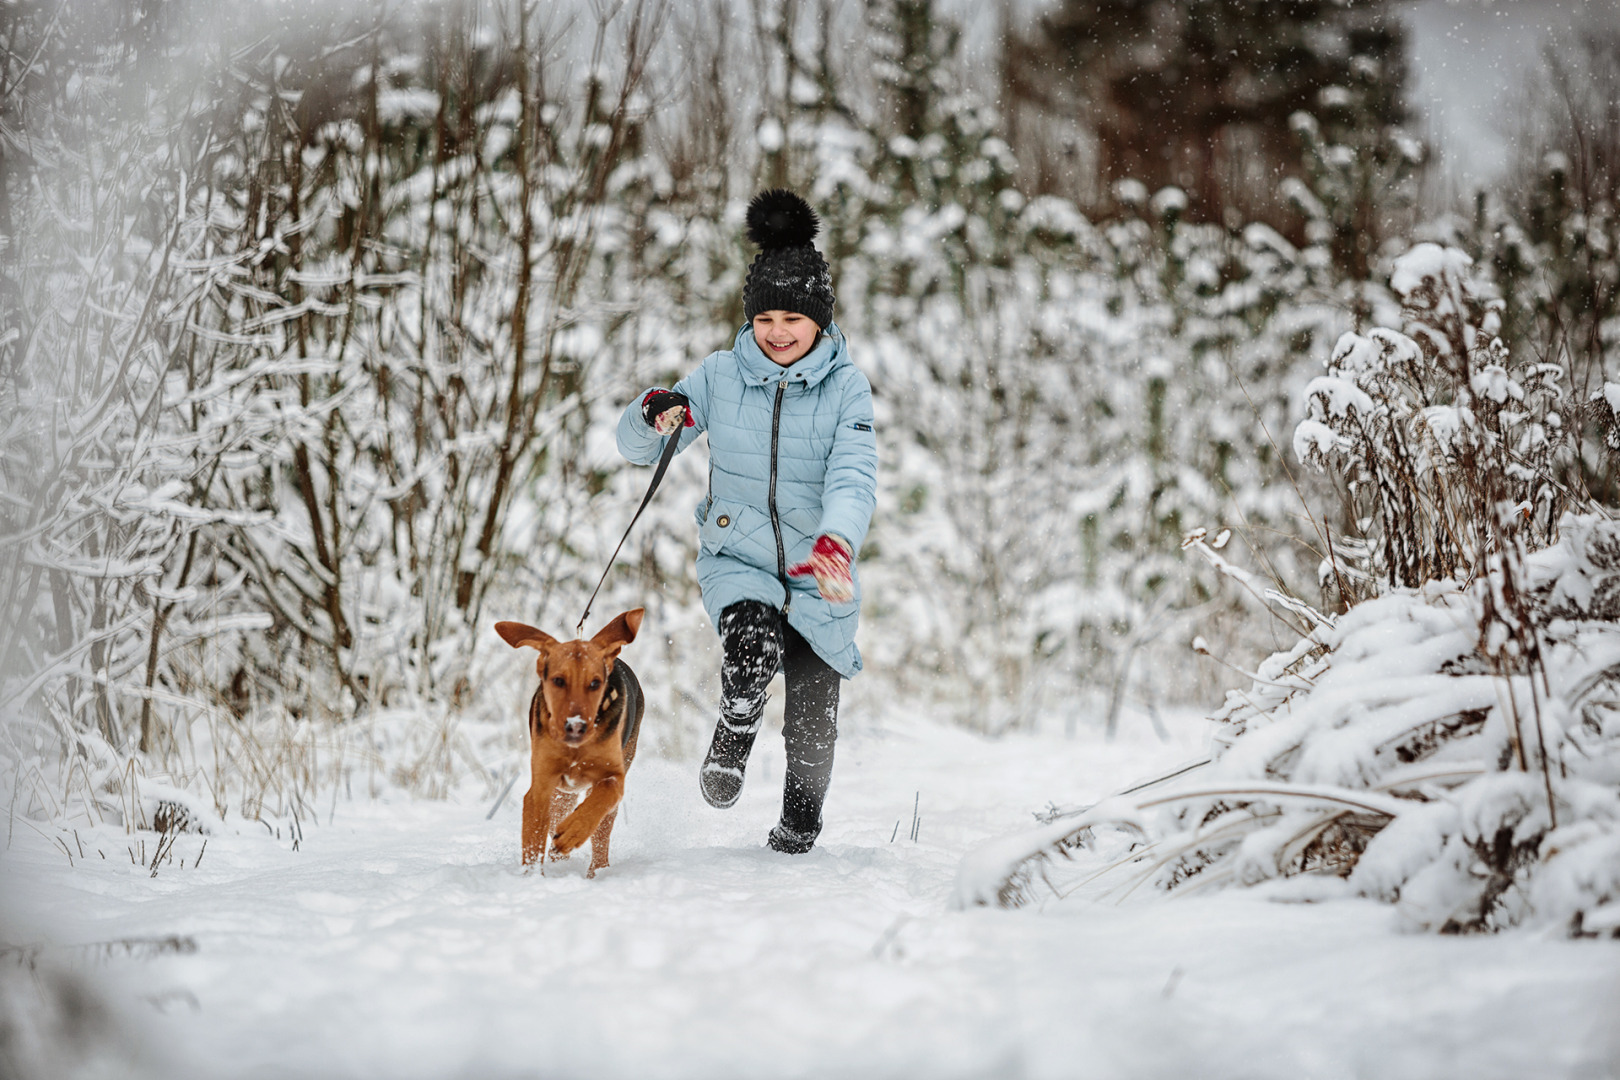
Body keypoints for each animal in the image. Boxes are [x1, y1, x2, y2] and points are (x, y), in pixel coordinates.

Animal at [492, 608, 644, 880]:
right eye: (558, 681)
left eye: (595, 683)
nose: (575, 726)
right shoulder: (541, 787)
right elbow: (533, 839)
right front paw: (532, 878)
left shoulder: (614, 777)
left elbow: (604, 794)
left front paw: (573, 832)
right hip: (560, 794)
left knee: (602, 831)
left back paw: (597, 870)